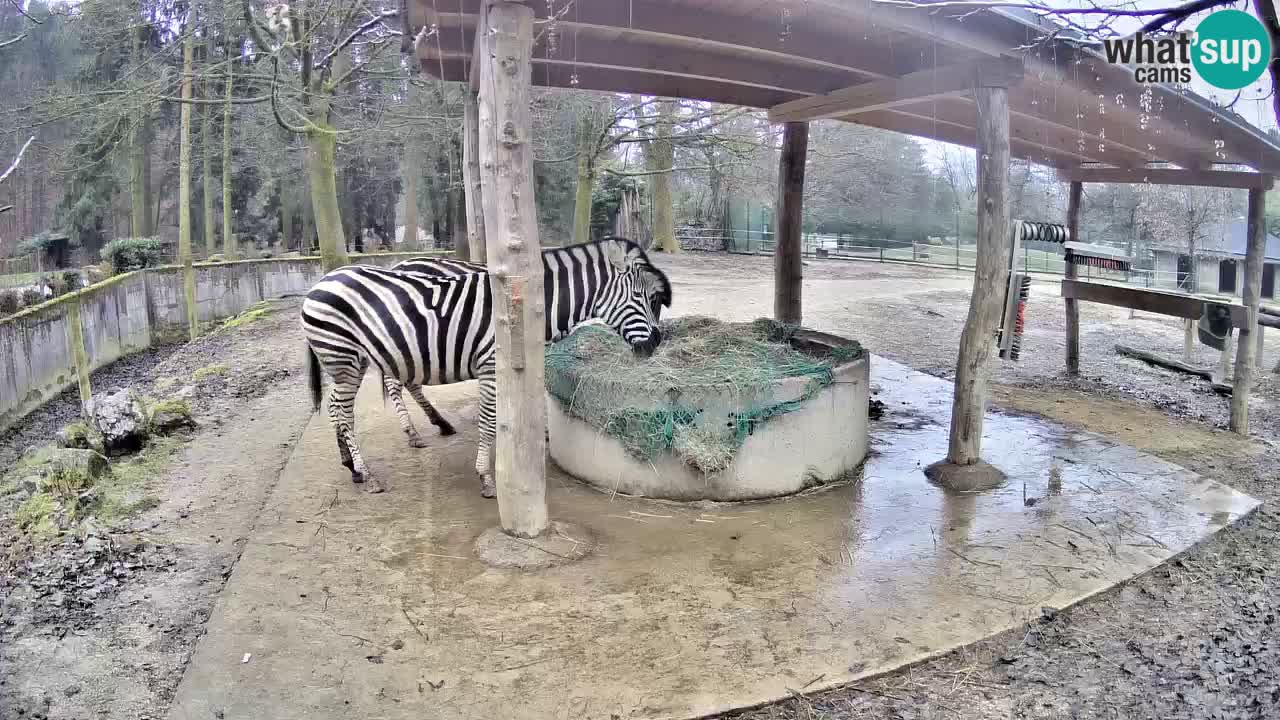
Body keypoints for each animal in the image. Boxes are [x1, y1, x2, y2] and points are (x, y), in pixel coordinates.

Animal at [303, 238, 675, 497]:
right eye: (644, 298)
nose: (656, 345)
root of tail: (321, 281)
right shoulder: (492, 365)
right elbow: (489, 421)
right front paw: (486, 476)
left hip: (360, 358)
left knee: (340, 408)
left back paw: (354, 465)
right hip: (344, 357)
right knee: (344, 410)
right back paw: (368, 471)